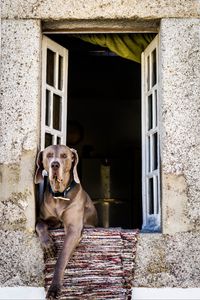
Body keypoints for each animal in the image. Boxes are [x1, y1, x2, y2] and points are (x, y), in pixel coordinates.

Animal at [34, 144, 97, 298]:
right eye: (49, 155)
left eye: (64, 156)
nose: (54, 164)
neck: (60, 195)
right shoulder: (45, 219)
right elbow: (39, 224)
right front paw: (48, 244)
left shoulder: (73, 229)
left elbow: (61, 258)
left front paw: (54, 287)